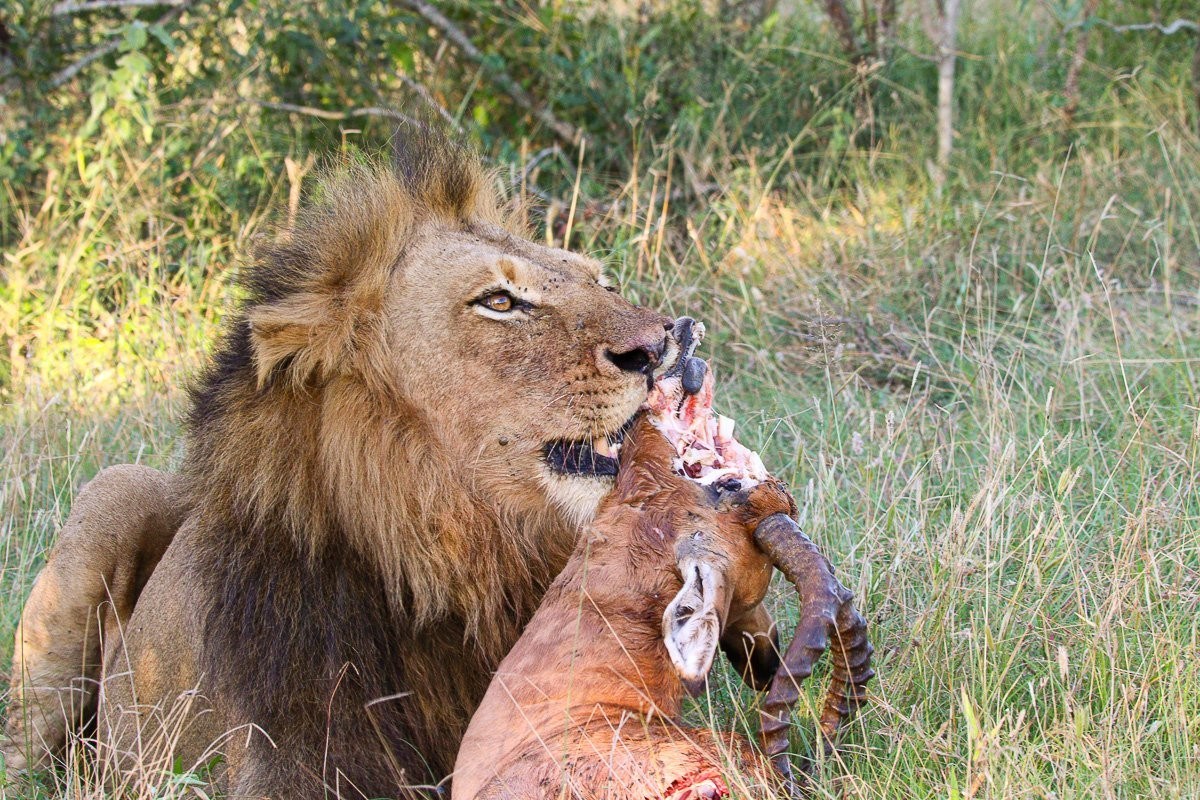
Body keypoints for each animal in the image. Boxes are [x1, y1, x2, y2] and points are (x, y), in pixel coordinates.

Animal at [4, 134, 677, 797]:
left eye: (602, 282)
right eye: (499, 301)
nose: (666, 343)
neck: (460, 562)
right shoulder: (295, 762)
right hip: (110, 498)